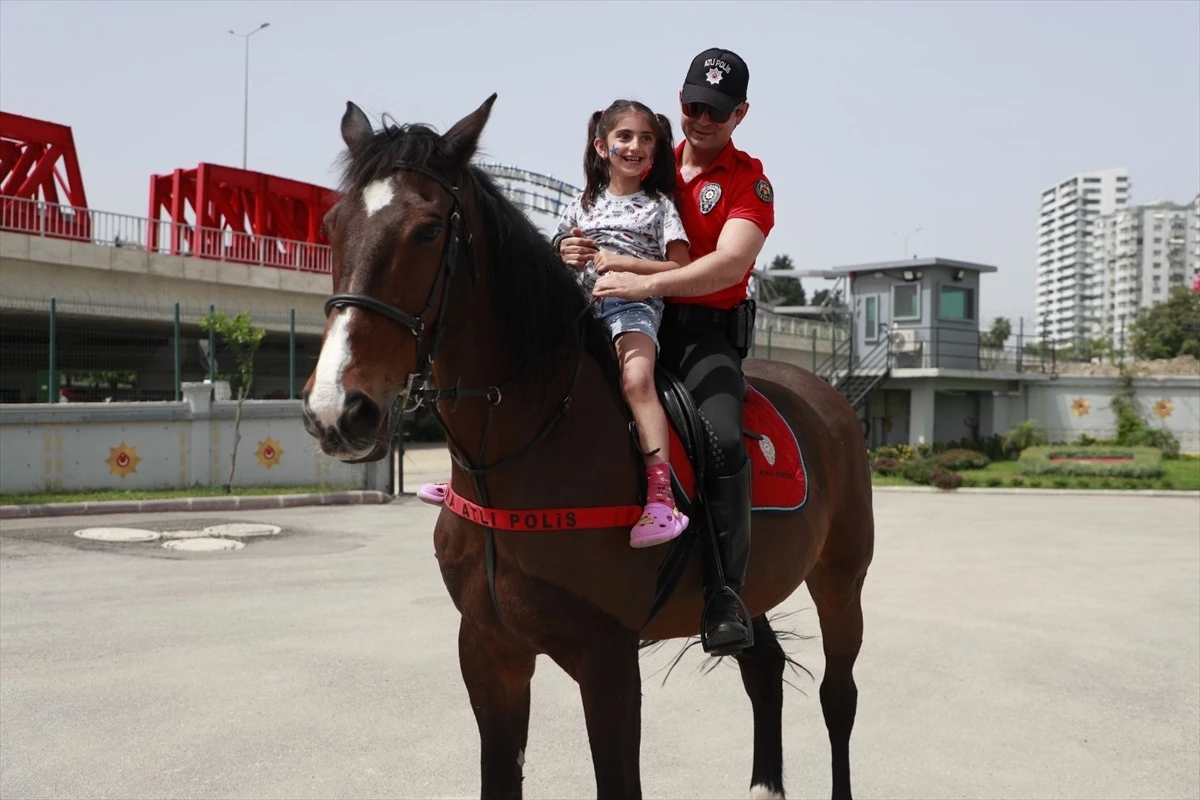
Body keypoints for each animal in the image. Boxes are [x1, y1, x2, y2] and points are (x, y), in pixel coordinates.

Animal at [304, 95, 878, 800]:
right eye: (332, 225)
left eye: (429, 229)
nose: (338, 408)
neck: (519, 457)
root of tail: (827, 396)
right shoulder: (488, 654)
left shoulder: (607, 662)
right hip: (756, 588)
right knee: (763, 669)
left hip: (841, 580)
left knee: (838, 697)